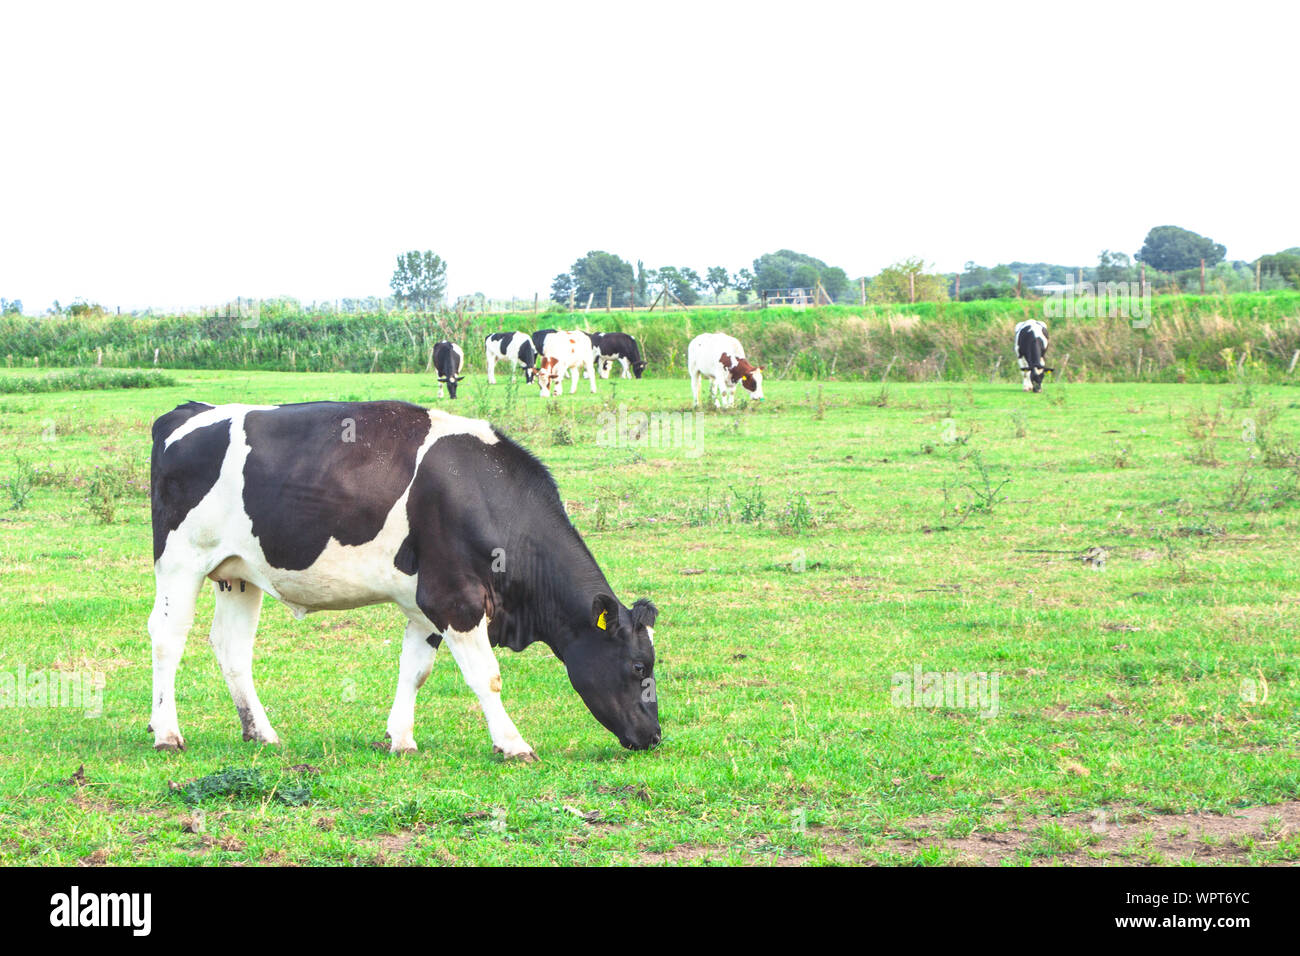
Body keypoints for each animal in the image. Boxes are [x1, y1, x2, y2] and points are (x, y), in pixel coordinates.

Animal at [147, 400, 661, 759]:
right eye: (639, 667)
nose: (654, 735)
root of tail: (189, 411)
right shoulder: (456, 599)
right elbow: (487, 677)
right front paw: (513, 744)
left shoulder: (425, 604)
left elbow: (415, 671)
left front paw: (400, 739)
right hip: (180, 561)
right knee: (167, 637)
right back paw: (167, 733)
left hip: (239, 573)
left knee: (231, 647)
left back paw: (261, 733)